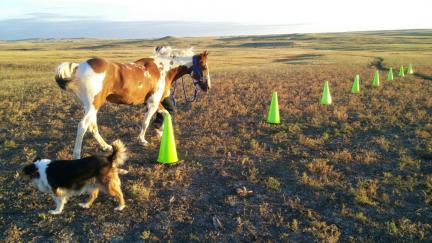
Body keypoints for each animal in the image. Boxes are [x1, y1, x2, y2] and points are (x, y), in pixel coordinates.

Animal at [54, 46, 211, 159]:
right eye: (204, 67)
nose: (207, 87)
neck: (162, 69)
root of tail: (78, 68)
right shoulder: (153, 103)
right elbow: (146, 122)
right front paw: (142, 140)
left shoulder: (154, 102)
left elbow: (166, 114)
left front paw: (160, 133)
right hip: (93, 105)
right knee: (82, 126)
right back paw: (76, 155)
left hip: (90, 106)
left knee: (92, 126)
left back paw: (106, 147)